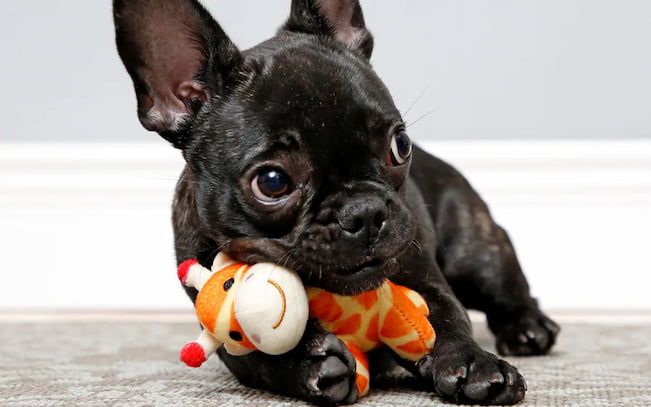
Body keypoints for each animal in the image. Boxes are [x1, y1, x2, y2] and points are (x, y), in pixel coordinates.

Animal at [113, 1, 560, 406]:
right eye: (272, 182)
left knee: (508, 290)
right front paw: (307, 363)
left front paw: (472, 362)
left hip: (476, 250)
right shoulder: (223, 336)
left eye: (400, 145)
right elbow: (255, 356)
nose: (364, 211)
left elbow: (447, 317)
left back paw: (528, 327)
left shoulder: (424, 276)